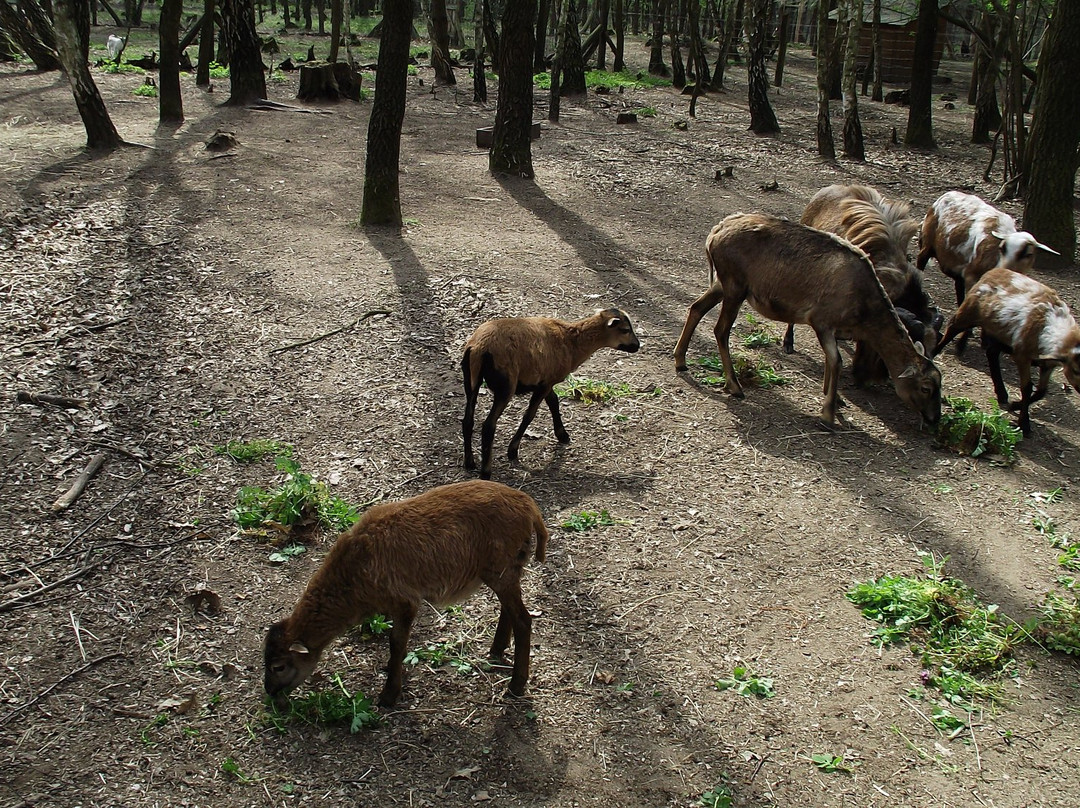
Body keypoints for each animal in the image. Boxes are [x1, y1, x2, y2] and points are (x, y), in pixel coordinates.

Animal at [262, 479, 548, 708]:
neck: (349, 581)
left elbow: (396, 643)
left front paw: (389, 694)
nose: (270, 693)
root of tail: (529, 506)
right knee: (509, 610)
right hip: (507, 567)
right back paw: (498, 649)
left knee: (523, 620)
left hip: (500, 567)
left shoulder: (405, 601)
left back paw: (516, 685)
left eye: (279, 666)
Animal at [457, 306, 639, 477]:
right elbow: (530, 415)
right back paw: (485, 472)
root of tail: (480, 348)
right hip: (506, 385)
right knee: (489, 425)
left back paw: (469, 462)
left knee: (468, 420)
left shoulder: (546, 381)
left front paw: (562, 435)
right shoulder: (544, 384)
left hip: (471, 379)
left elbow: (554, 402)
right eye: (625, 329)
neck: (572, 342)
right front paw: (512, 450)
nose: (637, 346)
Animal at [669, 212, 941, 429]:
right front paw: (828, 414)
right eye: (926, 387)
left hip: (722, 284)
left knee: (696, 308)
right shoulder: (822, 321)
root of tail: (716, 231)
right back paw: (734, 386)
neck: (865, 307)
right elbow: (836, 360)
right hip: (735, 286)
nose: (934, 419)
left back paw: (681, 360)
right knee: (721, 330)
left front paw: (835, 399)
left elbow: (831, 361)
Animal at [933, 267, 1075, 436]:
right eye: (1076, 370)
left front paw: (1015, 405)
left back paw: (1002, 394)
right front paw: (1024, 424)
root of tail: (994, 271)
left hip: (1000, 334)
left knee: (991, 353)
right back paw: (935, 353)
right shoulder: (1022, 356)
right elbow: (1027, 387)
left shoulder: (1047, 365)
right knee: (950, 330)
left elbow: (1041, 391)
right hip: (968, 313)